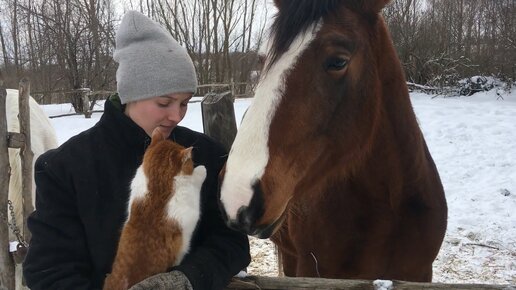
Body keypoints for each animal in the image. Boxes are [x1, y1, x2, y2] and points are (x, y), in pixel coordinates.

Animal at [104, 130, 207, 290]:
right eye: (190, 161)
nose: (194, 162)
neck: (157, 185)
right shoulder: (190, 208)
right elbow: (195, 179)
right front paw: (201, 170)